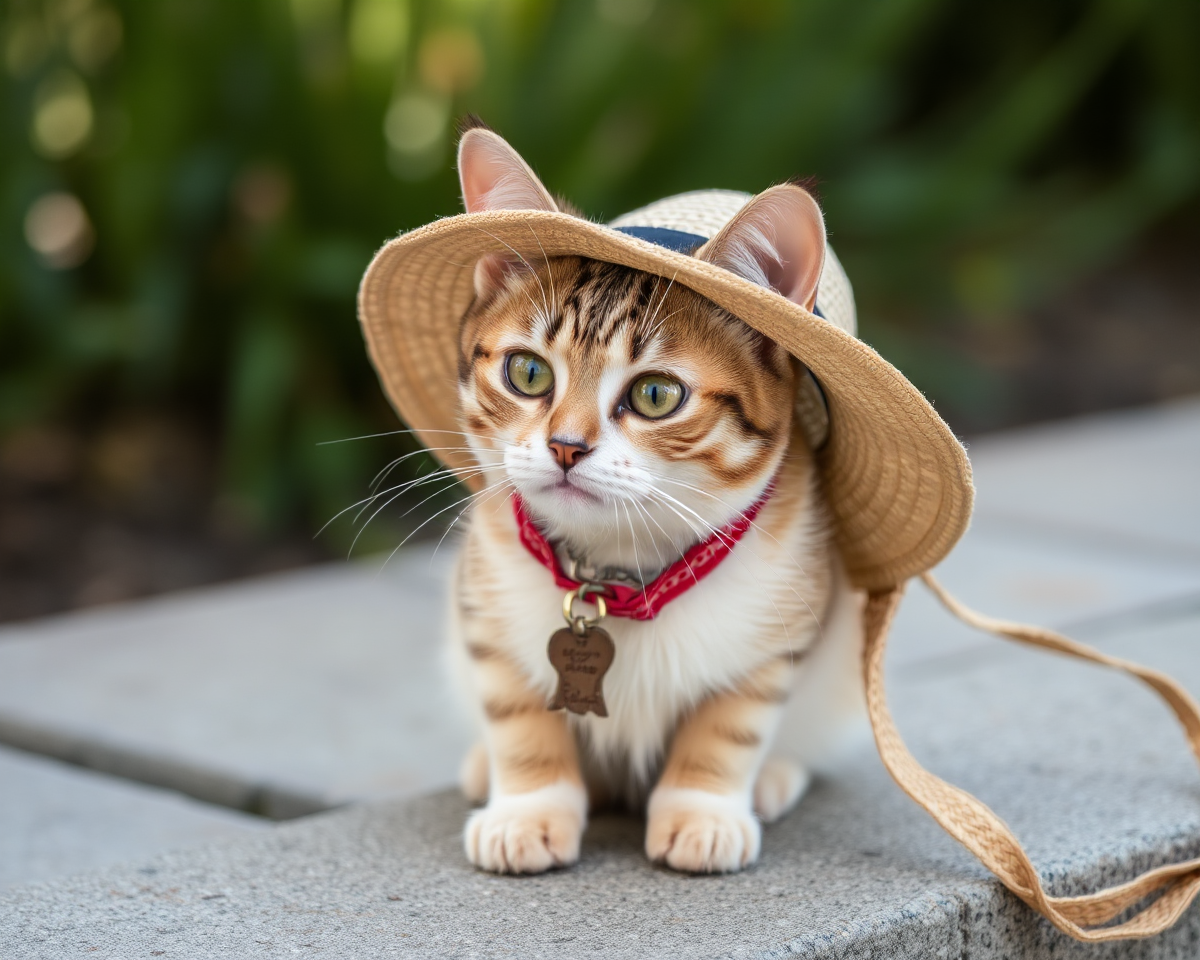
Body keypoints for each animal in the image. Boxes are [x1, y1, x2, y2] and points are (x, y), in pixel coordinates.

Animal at [441, 127, 864, 878]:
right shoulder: (482, 604)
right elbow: (516, 710)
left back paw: (777, 775)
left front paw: (703, 811)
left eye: (657, 395)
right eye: (528, 373)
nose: (566, 447)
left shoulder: (785, 622)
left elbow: (732, 722)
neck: (617, 573)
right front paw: (527, 808)